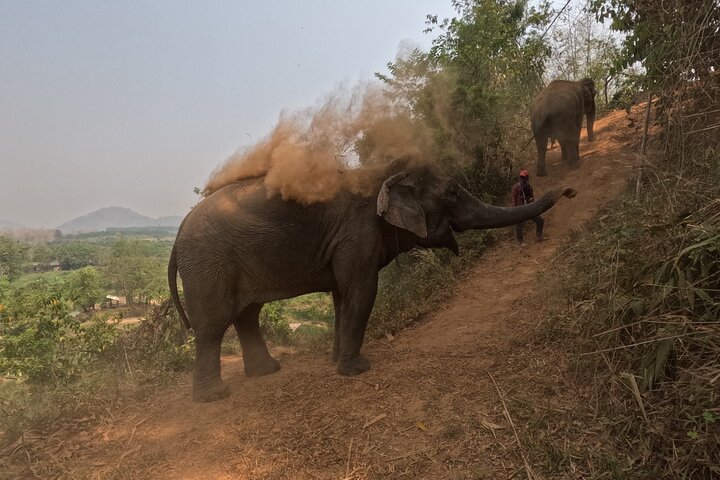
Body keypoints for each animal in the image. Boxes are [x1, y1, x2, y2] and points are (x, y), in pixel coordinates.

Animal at [168, 159, 576, 402]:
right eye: (452, 192)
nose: (571, 190)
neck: (387, 173)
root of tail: (178, 232)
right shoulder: (357, 234)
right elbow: (362, 292)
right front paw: (356, 370)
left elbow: (341, 295)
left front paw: (337, 360)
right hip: (208, 264)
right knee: (213, 326)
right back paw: (215, 396)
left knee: (247, 315)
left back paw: (267, 372)